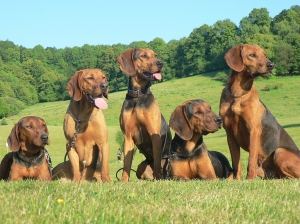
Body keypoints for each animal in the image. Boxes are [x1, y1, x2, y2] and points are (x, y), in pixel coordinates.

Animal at [118, 48, 172, 181]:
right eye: (143, 56)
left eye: (155, 55)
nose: (161, 63)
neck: (138, 95)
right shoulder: (128, 136)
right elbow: (126, 165)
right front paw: (123, 181)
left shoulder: (154, 134)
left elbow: (157, 163)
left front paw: (159, 179)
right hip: (140, 167)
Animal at [219, 44, 300, 180]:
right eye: (252, 55)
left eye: (265, 54)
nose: (271, 65)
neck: (238, 94)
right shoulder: (229, 134)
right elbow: (236, 163)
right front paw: (236, 179)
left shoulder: (253, 130)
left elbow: (251, 160)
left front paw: (249, 179)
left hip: (279, 151)